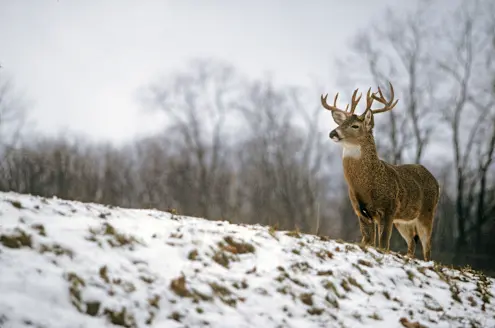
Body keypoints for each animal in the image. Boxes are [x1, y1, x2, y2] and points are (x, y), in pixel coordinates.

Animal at [322, 82, 442, 262]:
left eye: (355, 125)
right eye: (340, 123)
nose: (333, 132)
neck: (366, 186)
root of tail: (435, 180)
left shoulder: (389, 209)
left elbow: (383, 243)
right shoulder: (361, 212)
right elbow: (368, 241)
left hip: (426, 213)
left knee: (427, 248)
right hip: (403, 221)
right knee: (412, 243)